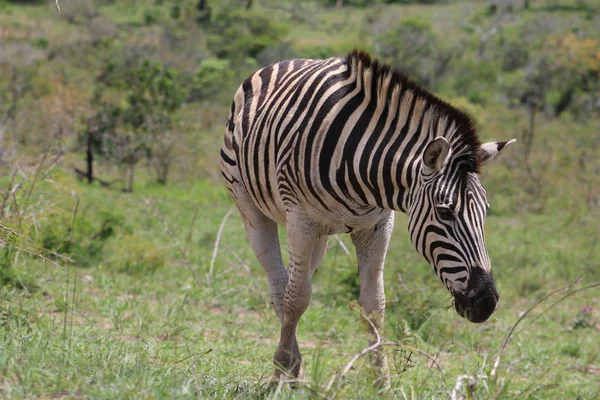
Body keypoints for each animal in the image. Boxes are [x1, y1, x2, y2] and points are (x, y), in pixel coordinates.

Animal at [220, 50, 516, 384]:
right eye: (444, 212)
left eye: (485, 212)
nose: (486, 303)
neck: (362, 166)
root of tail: (287, 61)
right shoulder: (300, 219)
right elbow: (296, 299)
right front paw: (282, 367)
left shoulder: (377, 226)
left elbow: (374, 304)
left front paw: (381, 381)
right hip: (252, 207)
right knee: (279, 284)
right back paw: (287, 366)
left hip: (318, 234)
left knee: (293, 280)